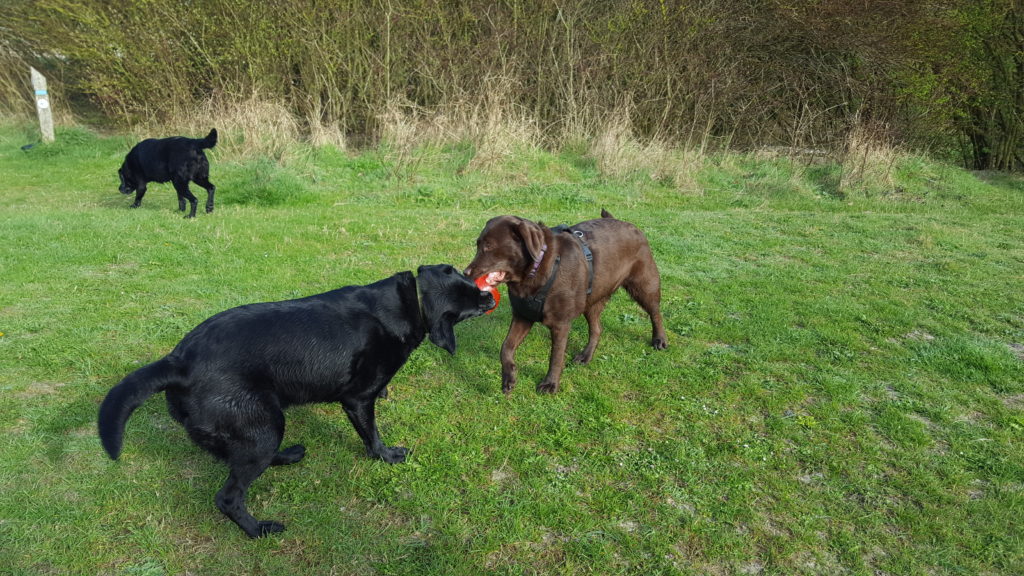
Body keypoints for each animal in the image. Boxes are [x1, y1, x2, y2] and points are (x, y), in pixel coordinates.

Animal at [97, 262, 493, 537]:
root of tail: (179, 362)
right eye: (471, 302)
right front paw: (386, 456)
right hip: (264, 425)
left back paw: (286, 457)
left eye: (468, 280)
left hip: (257, 427)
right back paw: (258, 530)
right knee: (229, 496)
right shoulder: (358, 399)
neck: (406, 305)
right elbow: (372, 435)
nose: (490, 296)